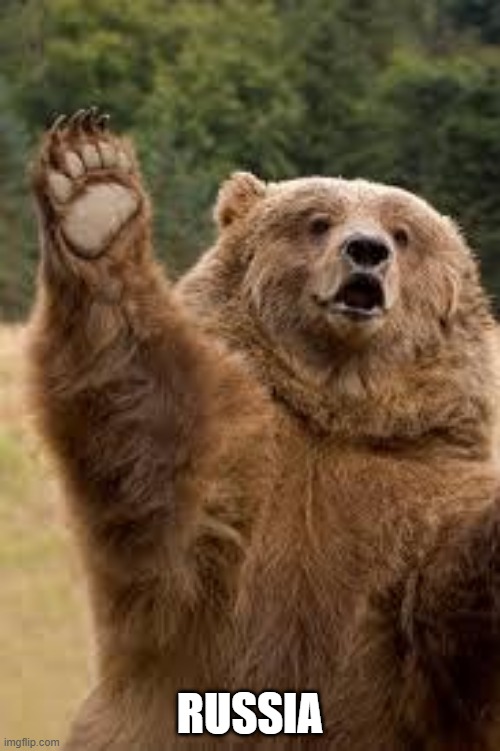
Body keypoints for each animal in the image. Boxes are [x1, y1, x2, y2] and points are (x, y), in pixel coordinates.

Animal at [28, 108, 500, 751]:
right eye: (318, 221)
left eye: (404, 233)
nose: (366, 251)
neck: (333, 415)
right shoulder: (236, 487)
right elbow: (152, 435)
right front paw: (93, 188)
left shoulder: (414, 498)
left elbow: (447, 600)